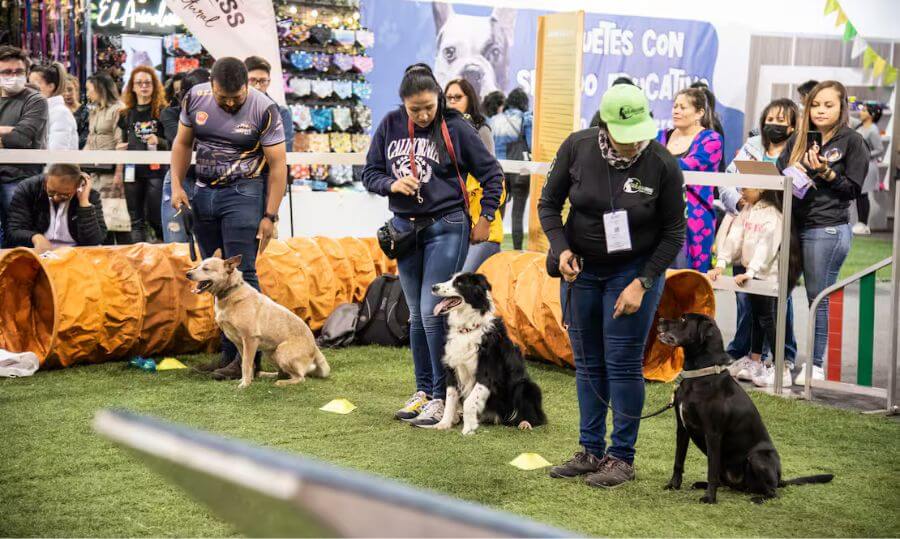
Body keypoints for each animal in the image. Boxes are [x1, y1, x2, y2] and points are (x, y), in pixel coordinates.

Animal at [186, 249, 330, 388]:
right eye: (197, 266)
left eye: (206, 269)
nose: (187, 274)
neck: (230, 294)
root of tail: (314, 347)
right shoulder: (239, 343)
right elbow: (245, 363)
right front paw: (246, 380)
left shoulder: (250, 339)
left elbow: (246, 364)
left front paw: (245, 384)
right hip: (271, 353)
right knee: (283, 373)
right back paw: (266, 374)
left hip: (281, 351)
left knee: (300, 377)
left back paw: (281, 382)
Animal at [428, 274, 544, 434]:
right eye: (450, 279)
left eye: (459, 283)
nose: (434, 287)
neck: (468, 329)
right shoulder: (452, 369)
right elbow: (450, 398)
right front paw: (444, 423)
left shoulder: (487, 373)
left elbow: (469, 401)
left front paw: (468, 428)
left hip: (526, 386)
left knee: (535, 416)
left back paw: (525, 423)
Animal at [652, 314, 836, 504]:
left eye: (683, 320)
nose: (660, 320)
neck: (700, 375)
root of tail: (779, 478)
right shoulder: (682, 428)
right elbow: (678, 460)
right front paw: (673, 485)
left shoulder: (713, 434)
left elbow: (711, 469)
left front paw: (710, 498)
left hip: (758, 457)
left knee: (772, 491)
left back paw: (758, 499)